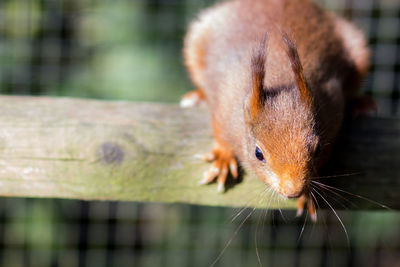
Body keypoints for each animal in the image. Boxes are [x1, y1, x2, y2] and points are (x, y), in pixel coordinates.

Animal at [180, 0, 370, 222]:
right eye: (258, 153)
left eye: (318, 149)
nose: (293, 191)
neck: (280, 77)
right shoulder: (223, 102)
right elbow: (219, 130)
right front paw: (223, 158)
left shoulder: (333, 109)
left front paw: (307, 195)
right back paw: (197, 96)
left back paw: (361, 104)